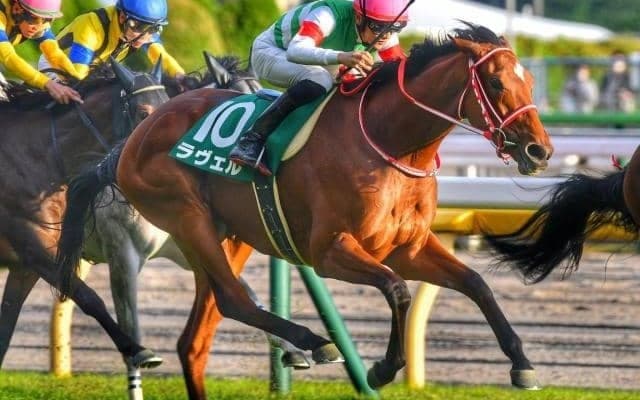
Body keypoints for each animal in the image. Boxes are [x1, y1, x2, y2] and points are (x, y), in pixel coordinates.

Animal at [0, 59, 169, 372]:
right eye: (143, 113)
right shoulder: (35, 247)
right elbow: (90, 298)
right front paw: (137, 350)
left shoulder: (29, 262)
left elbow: (6, 328)